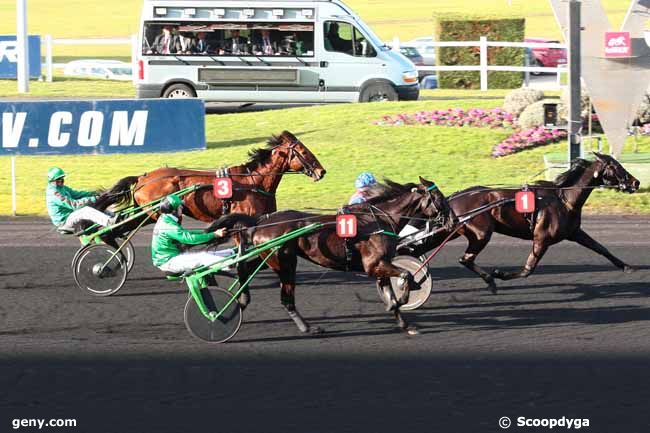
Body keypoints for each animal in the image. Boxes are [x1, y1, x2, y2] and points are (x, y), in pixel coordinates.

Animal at [210, 176, 454, 334]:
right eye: (440, 198)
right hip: (284, 261)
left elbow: (390, 291)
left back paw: (240, 301)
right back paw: (307, 327)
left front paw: (402, 320)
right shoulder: (374, 265)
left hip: (268, 257)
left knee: (244, 268)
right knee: (286, 298)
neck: (379, 220)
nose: (452, 220)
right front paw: (404, 297)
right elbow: (406, 275)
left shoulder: (381, 264)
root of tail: (261, 221)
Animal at [404, 152, 636, 290]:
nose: (636, 182)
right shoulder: (542, 238)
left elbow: (600, 247)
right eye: (616, 166)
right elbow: (528, 269)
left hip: (450, 230)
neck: (563, 198)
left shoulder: (574, 232)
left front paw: (626, 266)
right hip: (480, 233)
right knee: (465, 259)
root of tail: (454, 197)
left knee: (424, 250)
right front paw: (500, 273)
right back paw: (490, 280)